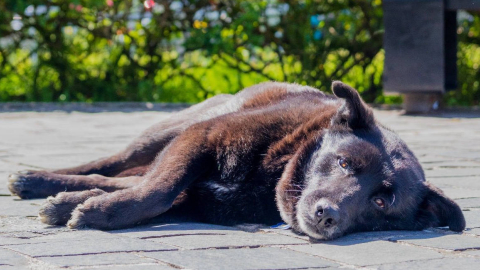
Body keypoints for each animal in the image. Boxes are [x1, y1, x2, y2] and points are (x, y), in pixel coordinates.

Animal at [8, 81, 464, 239]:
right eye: (344, 163)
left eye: (381, 201)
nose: (327, 214)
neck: (274, 171)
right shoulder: (201, 138)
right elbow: (156, 190)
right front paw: (98, 213)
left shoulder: (197, 196)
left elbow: (152, 195)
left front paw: (89, 207)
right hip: (165, 134)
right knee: (109, 165)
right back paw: (36, 180)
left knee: (122, 178)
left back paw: (64, 198)